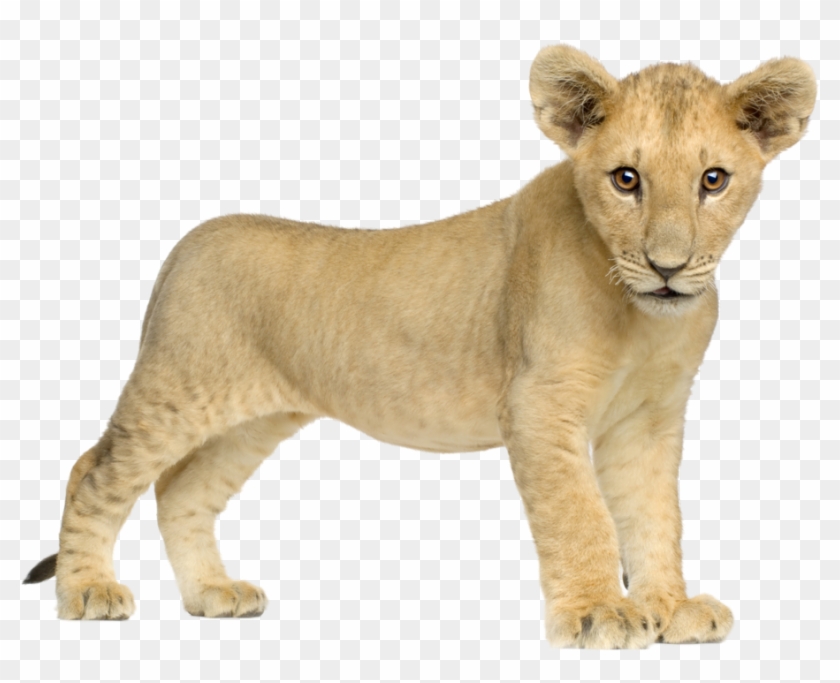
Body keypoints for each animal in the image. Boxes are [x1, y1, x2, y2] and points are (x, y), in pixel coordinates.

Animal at [23, 45, 815, 648]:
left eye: (713, 180)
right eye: (627, 179)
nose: (668, 266)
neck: (641, 316)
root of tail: (184, 244)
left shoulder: (647, 421)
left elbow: (655, 516)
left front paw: (669, 607)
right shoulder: (539, 406)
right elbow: (580, 515)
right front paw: (599, 613)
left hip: (252, 421)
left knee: (180, 490)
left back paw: (212, 592)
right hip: (177, 387)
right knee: (92, 471)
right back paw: (87, 591)